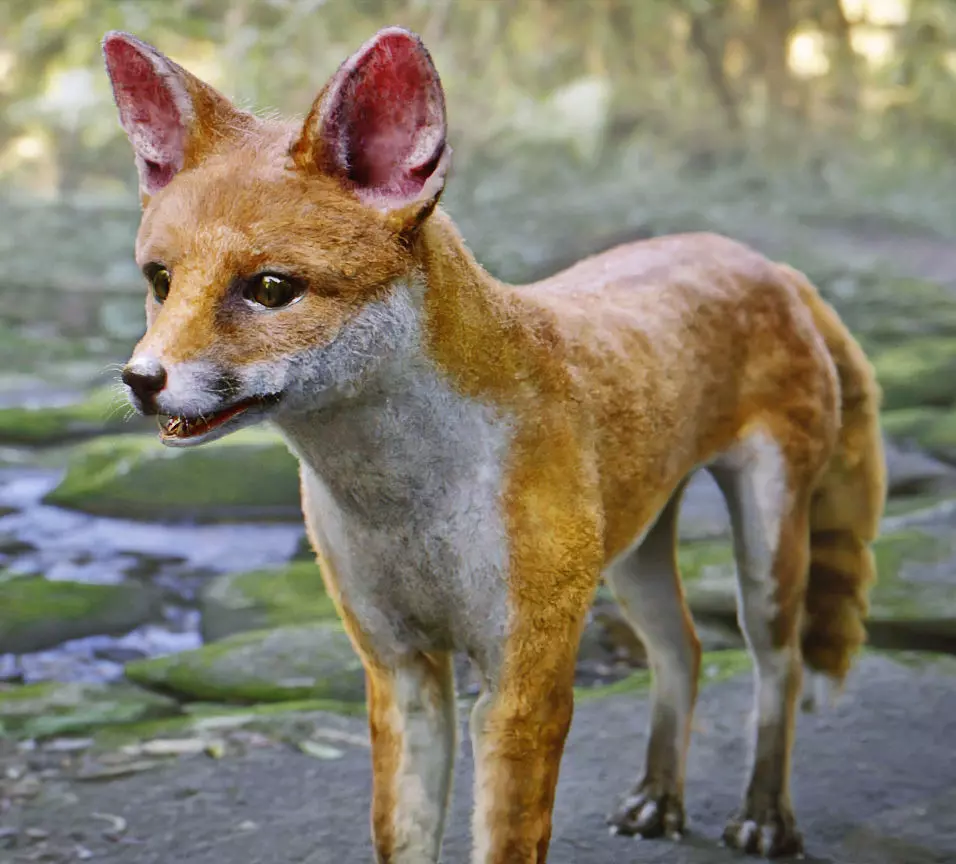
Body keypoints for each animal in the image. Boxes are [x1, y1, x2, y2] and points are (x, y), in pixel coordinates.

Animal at [102, 25, 886, 864]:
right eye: (160, 281)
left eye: (271, 289)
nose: (142, 380)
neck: (406, 502)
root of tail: (764, 261)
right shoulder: (399, 669)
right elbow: (404, 834)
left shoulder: (522, 684)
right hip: (633, 555)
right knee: (683, 651)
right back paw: (659, 797)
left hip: (765, 559)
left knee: (780, 667)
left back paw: (767, 815)